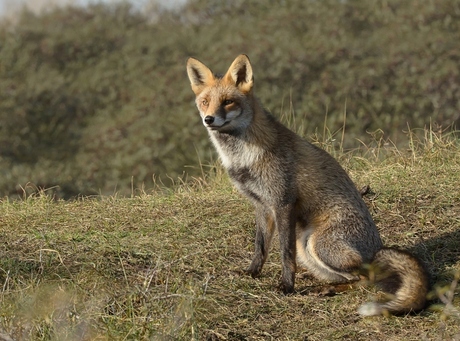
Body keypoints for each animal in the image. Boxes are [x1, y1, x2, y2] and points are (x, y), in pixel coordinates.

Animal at [185, 53, 430, 316]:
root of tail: (375, 250)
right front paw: (252, 272)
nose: (209, 119)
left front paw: (286, 285)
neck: (244, 158)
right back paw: (320, 282)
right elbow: (261, 247)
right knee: (349, 277)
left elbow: (285, 253)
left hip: (318, 245)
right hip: (306, 246)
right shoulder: (261, 205)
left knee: (366, 279)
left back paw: (326, 289)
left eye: (228, 102)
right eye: (205, 102)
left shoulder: (283, 203)